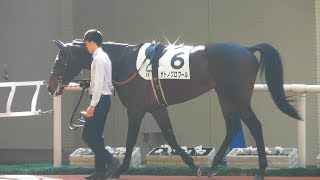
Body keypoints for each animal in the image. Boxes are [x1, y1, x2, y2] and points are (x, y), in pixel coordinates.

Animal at [47, 39, 300, 180]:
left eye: (59, 60)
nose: (50, 87)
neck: (123, 61)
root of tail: (247, 50)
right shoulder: (157, 108)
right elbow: (170, 136)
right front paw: (194, 166)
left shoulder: (136, 110)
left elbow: (130, 141)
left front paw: (118, 170)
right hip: (224, 96)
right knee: (232, 127)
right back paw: (213, 166)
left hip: (237, 97)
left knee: (254, 125)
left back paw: (260, 170)